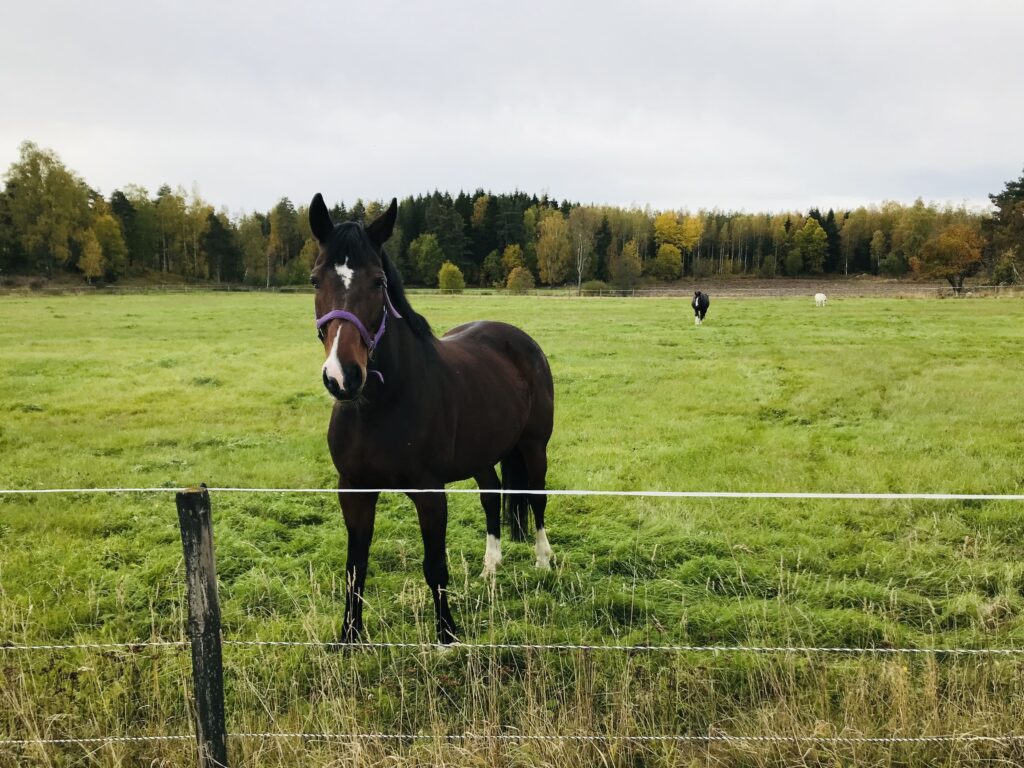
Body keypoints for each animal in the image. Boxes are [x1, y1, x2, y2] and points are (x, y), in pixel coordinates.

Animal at [308, 194, 555, 644]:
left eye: (378, 282)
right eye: (316, 280)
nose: (343, 376)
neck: (378, 406)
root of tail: (519, 339)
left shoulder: (429, 493)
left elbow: (434, 565)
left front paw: (447, 636)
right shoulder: (353, 489)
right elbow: (355, 566)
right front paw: (349, 636)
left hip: (534, 447)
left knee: (536, 497)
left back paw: (544, 560)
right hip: (482, 455)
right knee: (492, 496)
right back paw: (490, 567)